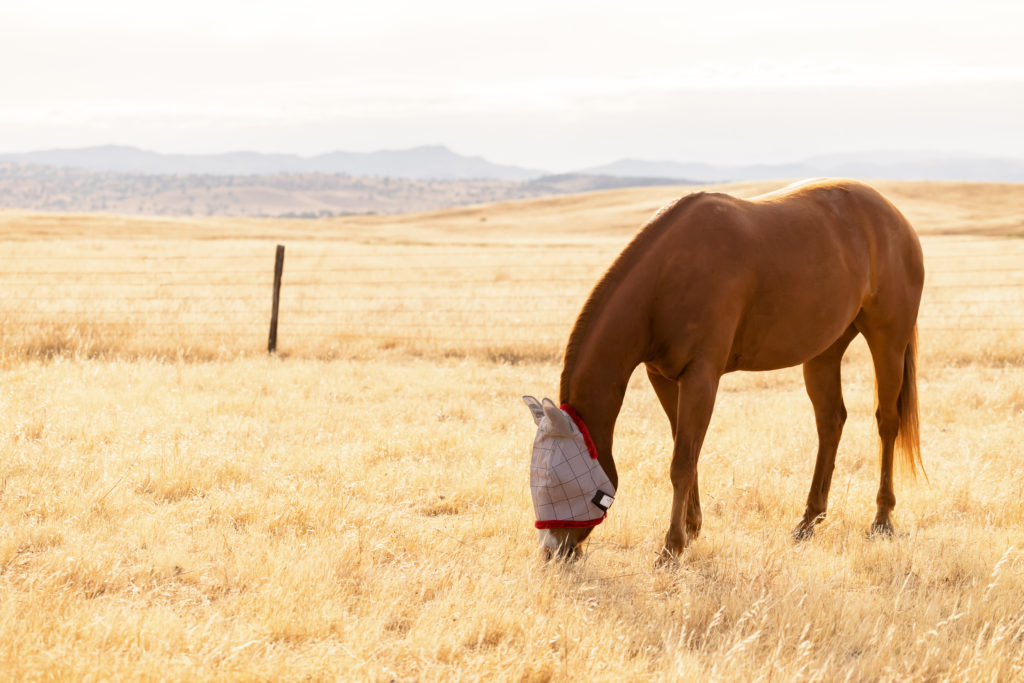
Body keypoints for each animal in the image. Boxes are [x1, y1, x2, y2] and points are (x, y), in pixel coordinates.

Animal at [529, 179, 924, 561]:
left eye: (557, 481)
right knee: (830, 422)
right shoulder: (664, 378)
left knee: (887, 422)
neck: (667, 275)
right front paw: (692, 528)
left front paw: (672, 547)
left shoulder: (701, 377)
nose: (552, 552)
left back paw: (882, 519)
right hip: (823, 355)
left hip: (888, 343)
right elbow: (685, 450)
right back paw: (809, 521)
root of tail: (896, 218)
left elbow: (682, 462)